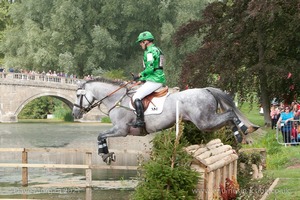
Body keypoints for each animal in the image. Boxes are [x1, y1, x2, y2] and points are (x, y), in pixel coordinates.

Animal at [71, 77, 258, 163]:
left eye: (78, 96)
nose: (74, 114)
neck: (116, 99)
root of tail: (206, 89)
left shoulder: (121, 130)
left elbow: (100, 135)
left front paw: (104, 154)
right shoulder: (119, 130)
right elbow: (100, 136)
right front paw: (106, 154)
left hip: (205, 122)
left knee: (230, 114)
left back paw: (244, 131)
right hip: (207, 122)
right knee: (229, 118)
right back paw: (241, 136)